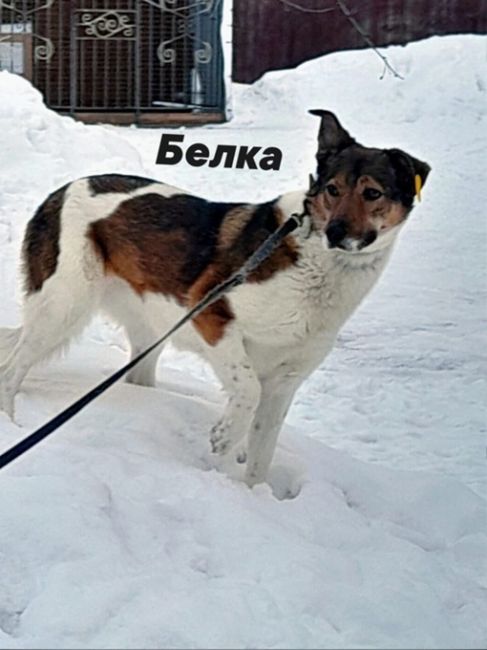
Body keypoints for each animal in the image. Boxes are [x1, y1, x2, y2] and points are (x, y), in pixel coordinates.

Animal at [0, 111, 430, 486]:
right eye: (332, 190)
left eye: (372, 193)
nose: (336, 232)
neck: (320, 263)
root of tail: (60, 192)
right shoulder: (212, 314)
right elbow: (247, 388)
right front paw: (224, 437)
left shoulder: (285, 382)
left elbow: (261, 452)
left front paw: (254, 499)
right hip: (62, 307)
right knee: (11, 370)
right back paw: (11, 425)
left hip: (147, 329)